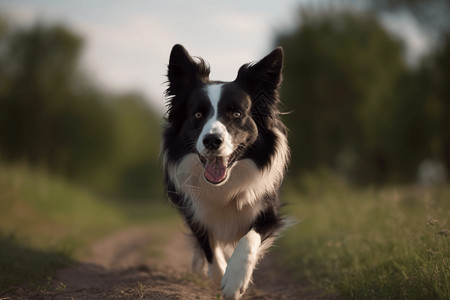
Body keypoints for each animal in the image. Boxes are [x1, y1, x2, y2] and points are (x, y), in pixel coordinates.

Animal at [163, 44, 290, 300]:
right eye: (198, 114)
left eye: (236, 114)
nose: (212, 140)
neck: (225, 185)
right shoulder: (193, 209)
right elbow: (208, 246)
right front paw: (220, 275)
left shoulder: (269, 211)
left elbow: (248, 238)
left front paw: (234, 279)